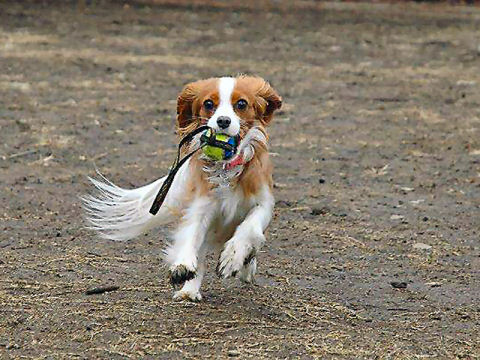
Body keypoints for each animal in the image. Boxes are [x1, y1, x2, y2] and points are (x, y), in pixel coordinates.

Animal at [83, 76, 282, 300]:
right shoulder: (202, 206)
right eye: (208, 104)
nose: (223, 121)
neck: (226, 168)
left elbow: (249, 228)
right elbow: (191, 235)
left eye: (241, 104)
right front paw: (183, 265)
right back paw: (189, 291)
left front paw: (232, 258)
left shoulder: (263, 204)